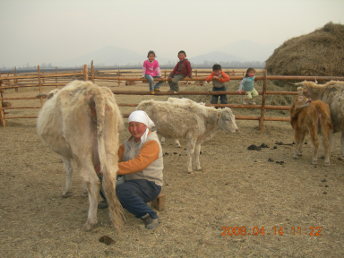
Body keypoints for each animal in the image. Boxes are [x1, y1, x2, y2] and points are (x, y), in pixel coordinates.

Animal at [37, 79, 123, 231]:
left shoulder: (65, 153)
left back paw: (90, 221)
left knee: (93, 181)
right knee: (110, 178)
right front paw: (83, 192)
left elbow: (69, 169)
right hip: (110, 147)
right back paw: (112, 215)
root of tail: (93, 89)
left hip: (82, 151)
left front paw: (67, 191)